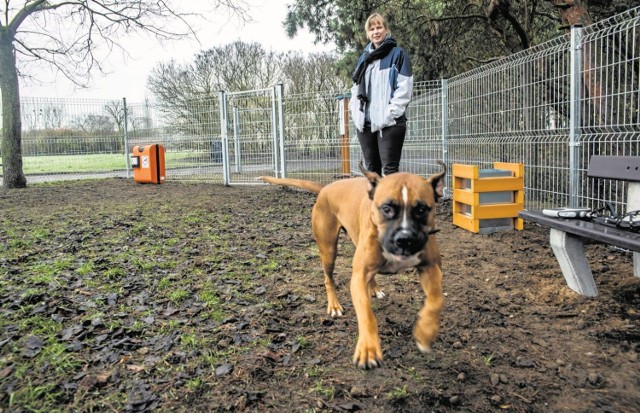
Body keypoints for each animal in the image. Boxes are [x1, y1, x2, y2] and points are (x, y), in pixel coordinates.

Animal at [258, 161, 442, 366]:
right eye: (386, 209)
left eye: (421, 210)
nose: (404, 239)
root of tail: (326, 188)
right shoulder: (358, 277)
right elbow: (366, 313)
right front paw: (368, 348)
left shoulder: (432, 267)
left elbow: (436, 300)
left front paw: (425, 332)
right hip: (329, 250)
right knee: (328, 278)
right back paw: (334, 306)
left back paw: (375, 288)